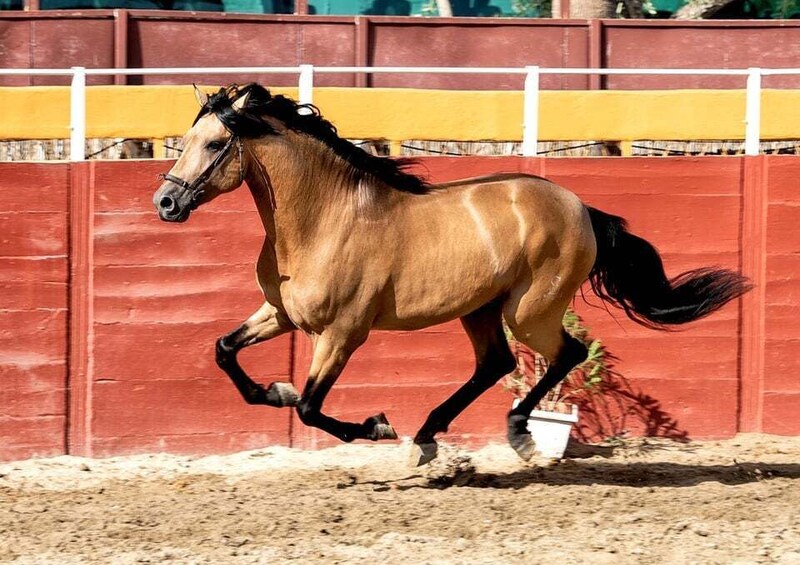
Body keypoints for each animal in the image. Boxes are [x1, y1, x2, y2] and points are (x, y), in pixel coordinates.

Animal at [153, 82, 752, 462]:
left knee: (566, 354)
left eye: (214, 143)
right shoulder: (281, 314)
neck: (325, 218)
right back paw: (428, 436)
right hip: (481, 309)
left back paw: (518, 436)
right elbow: (226, 352)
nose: (165, 202)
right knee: (495, 365)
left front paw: (376, 425)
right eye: (185, 140)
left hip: (530, 310)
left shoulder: (343, 333)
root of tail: (581, 208)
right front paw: (273, 391)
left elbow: (311, 407)